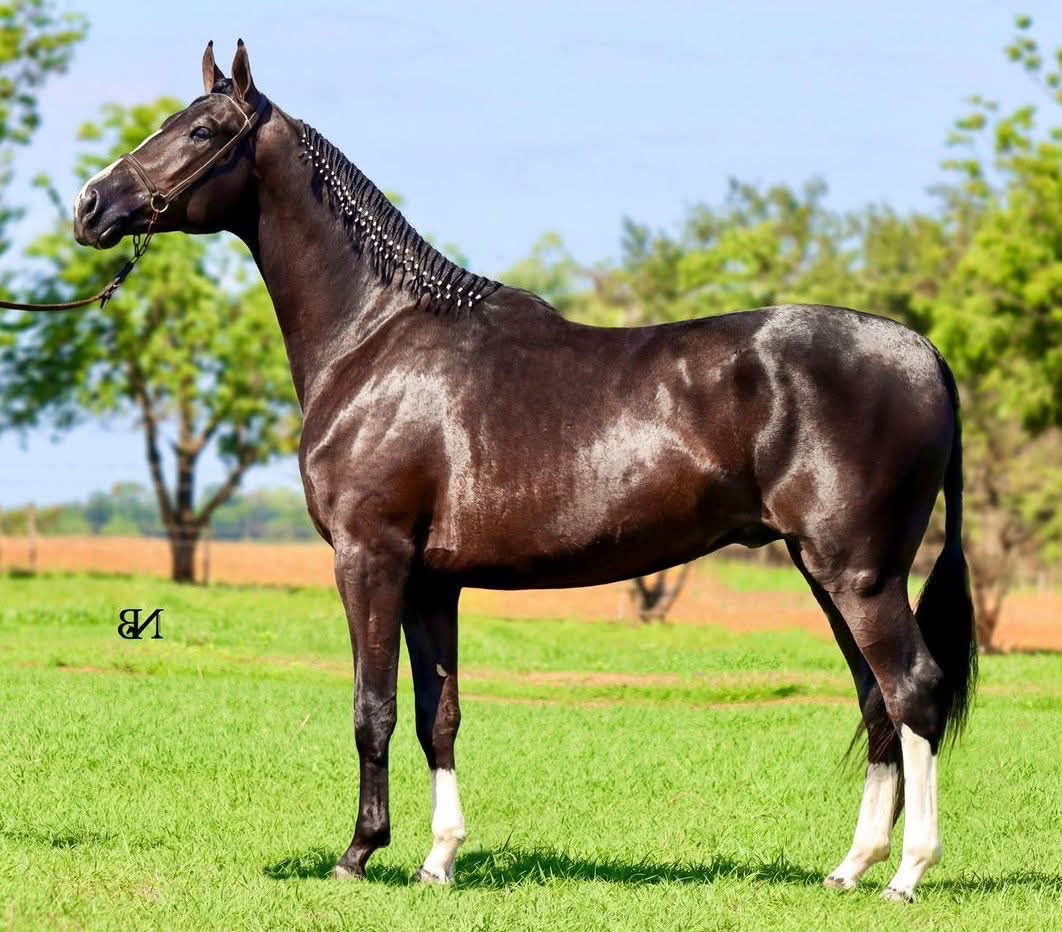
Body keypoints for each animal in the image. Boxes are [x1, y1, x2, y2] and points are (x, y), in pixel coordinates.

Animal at [71, 41, 976, 903]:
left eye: (200, 131)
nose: (90, 206)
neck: (376, 337)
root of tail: (926, 352)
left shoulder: (369, 559)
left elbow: (373, 708)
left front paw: (359, 854)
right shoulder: (432, 581)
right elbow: (438, 714)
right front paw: (438, 861)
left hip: (858, 575)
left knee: (913, 690)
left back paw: (907, 874)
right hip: (829, 573)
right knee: (877, 703)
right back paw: (852, 867)